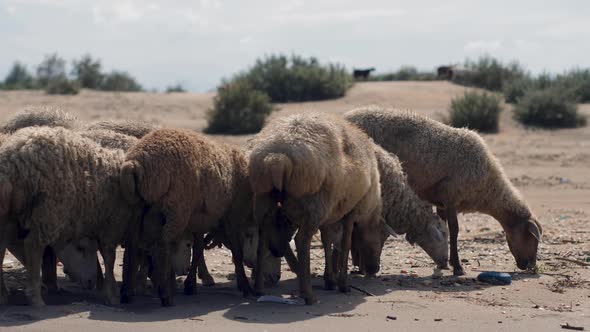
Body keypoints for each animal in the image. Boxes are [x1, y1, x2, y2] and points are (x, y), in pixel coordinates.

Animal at [0, 127, 140, 306]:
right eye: (80, 249)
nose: (89, 282)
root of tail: (12, 160)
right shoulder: (113, 224)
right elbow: (109, 258)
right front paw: (113, 293)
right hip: (49, 211)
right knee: (33, 245)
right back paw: (36, 298)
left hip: (8, 214)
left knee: (1, 246)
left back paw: (3, 295)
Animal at [118, 127, 260, 306]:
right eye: (254, 236)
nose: (253, 263)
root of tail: (135, 164)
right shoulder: (232, 215)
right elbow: (236, 251)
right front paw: (245, 287)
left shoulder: (199, 220)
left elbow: (198, 248)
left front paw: (191, 284)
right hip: (177, 208)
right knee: (162, 245)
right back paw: (165, 295)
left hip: (137, 206)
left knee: (132, 244)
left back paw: (127, 293)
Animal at [249, 113, 384, 304]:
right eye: (382, 237)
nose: (374, 269)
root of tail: (277, 159)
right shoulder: (351, 211)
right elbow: (345, 244)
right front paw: (343, 284)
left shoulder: (331, 213)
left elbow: (327, 241)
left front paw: (330, 280)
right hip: (315, 203)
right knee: (301, 240)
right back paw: (308, 295)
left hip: (264, 197)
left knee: (262, 239)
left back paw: (259, 288)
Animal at [346, 107, 544, 274]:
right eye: (532, 238)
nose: (531, 266)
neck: (489, 186)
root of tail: (347, 115)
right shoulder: (451, 198)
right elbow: (455, 231)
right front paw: (457, 267)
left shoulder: (441, 203)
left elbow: (447, 229)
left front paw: (445, 264)